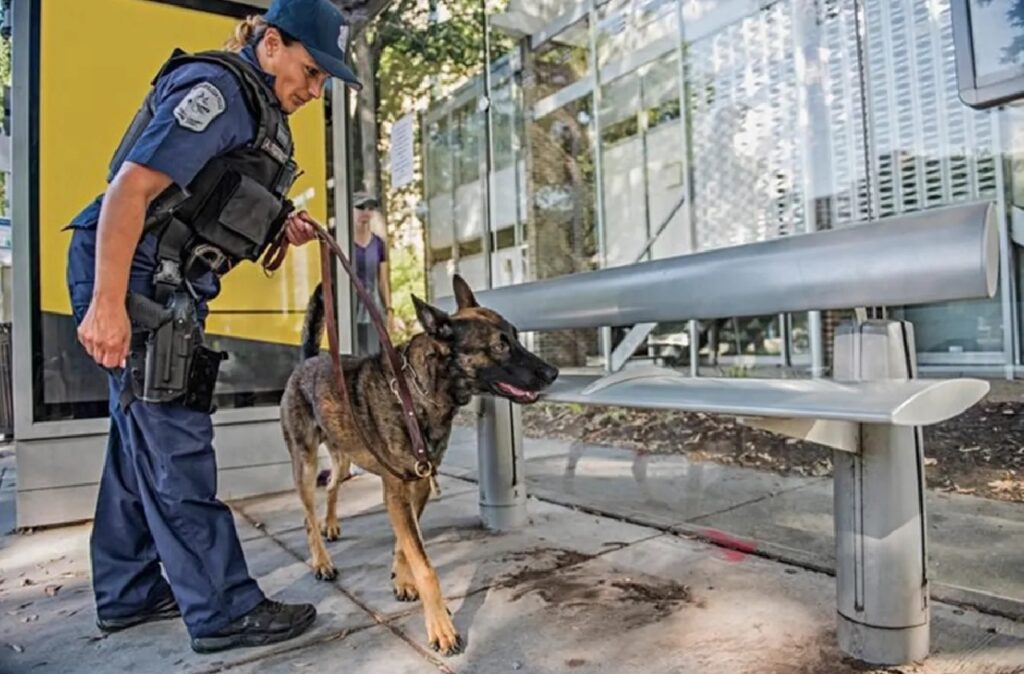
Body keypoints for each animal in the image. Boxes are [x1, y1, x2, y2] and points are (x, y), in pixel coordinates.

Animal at [280, 272, 561, 651]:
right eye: (500, 346)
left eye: (516, 336)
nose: (554, 372)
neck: (418, 393)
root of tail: (306, 361)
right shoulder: (398, 493)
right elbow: (425, 565)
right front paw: (440, 626)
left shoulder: (419, 486)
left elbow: (405, 546)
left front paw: (402, 580)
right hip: (306, 464)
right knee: (308, 515)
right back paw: (321, 560)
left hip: (342, 460)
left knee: (333, 488)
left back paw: (332, 525)